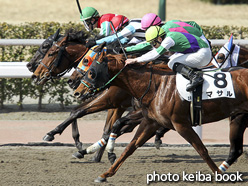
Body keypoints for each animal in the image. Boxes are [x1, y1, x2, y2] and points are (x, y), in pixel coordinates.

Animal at [75, 49, 248, 182]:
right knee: (236, 150)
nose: (77, 91)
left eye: (91, 72)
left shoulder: (180, 124)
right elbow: (130, 146)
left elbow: (201, 149)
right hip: (239, 117)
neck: (156, 86)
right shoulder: (151, 121)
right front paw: (105, 173)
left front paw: (218, 175)